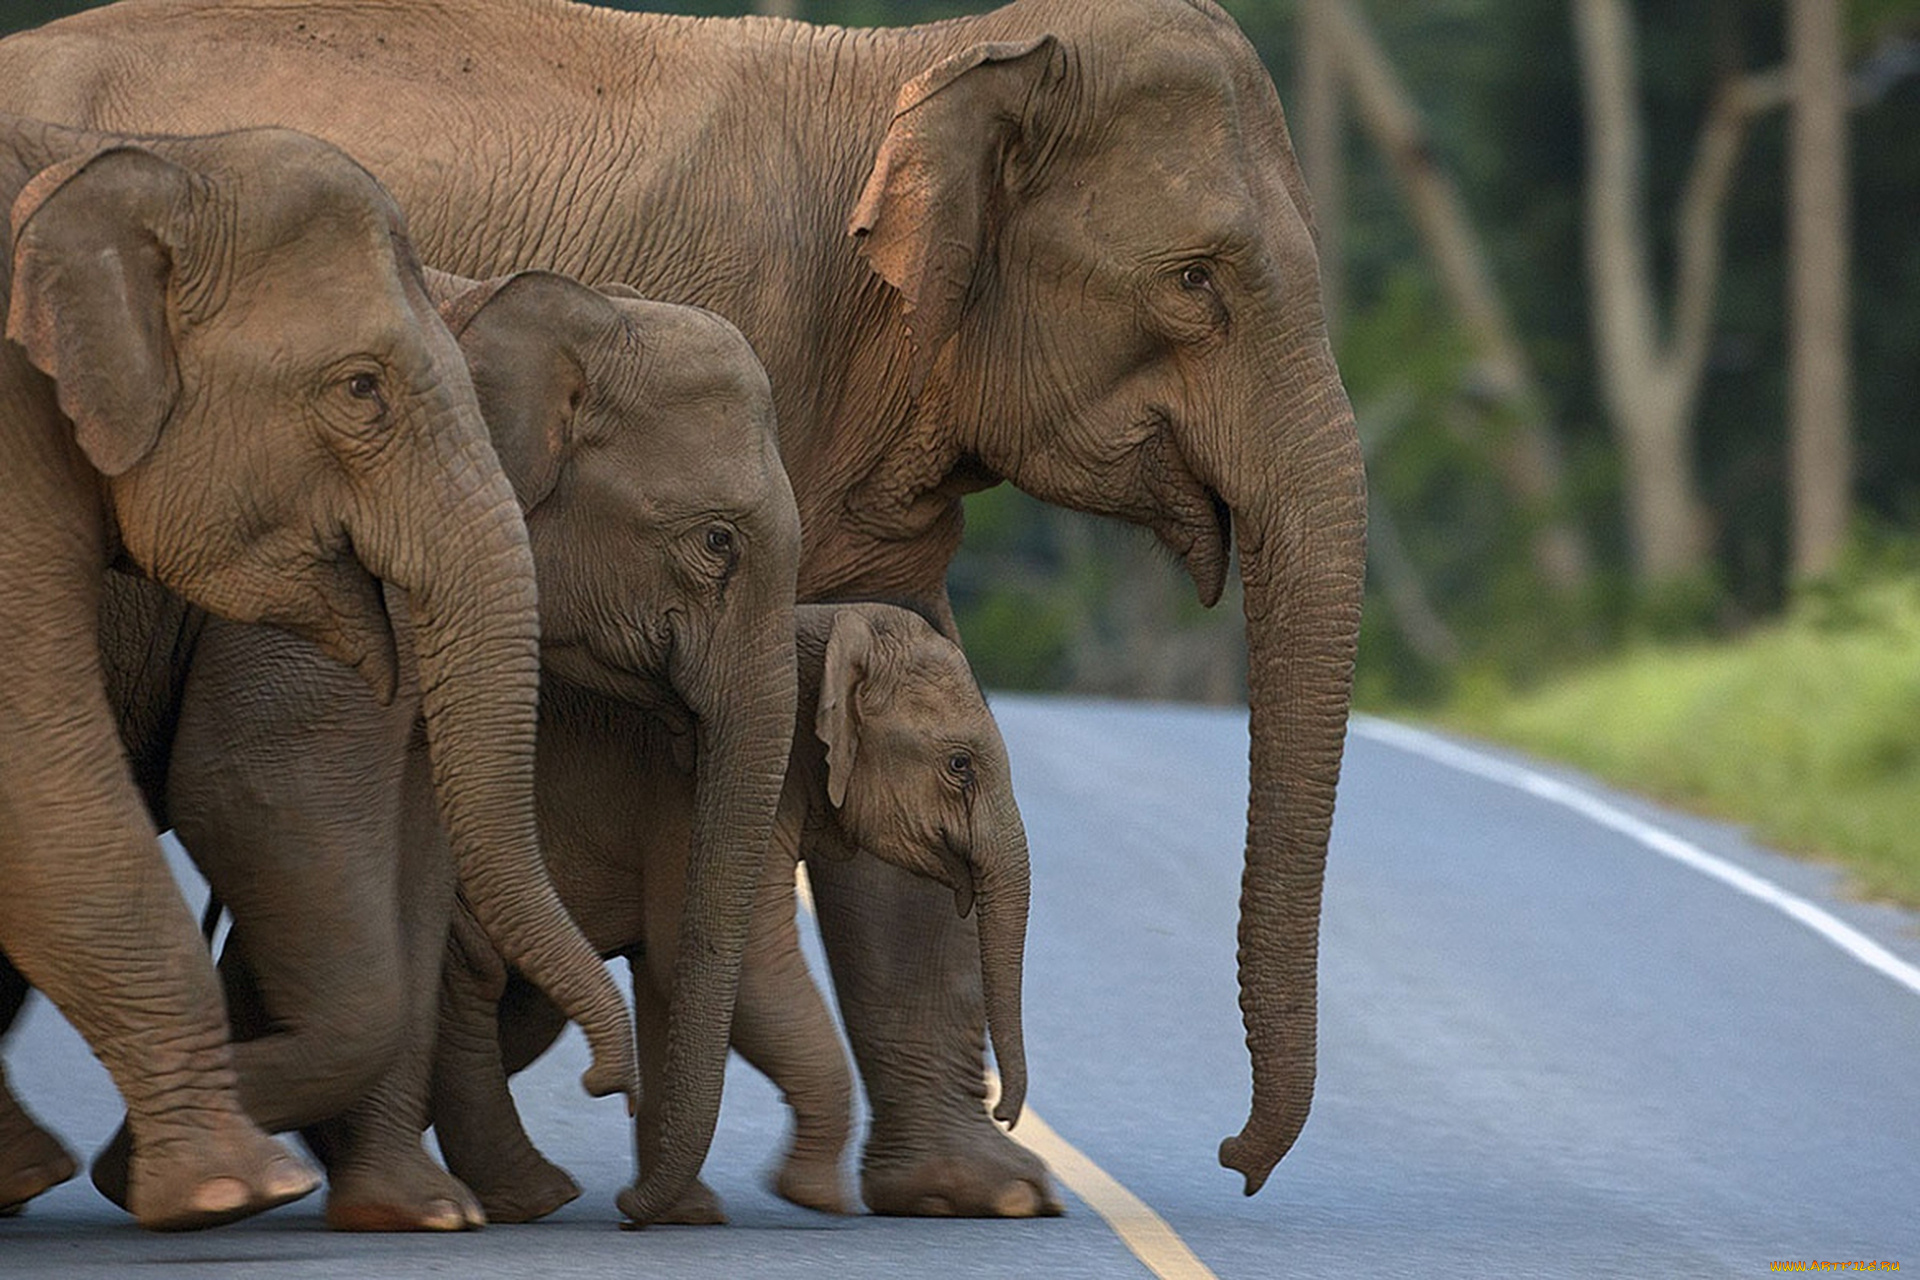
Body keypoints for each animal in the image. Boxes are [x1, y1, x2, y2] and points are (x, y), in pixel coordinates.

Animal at [13, 267, 801, 1229]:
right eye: (717, 542)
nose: (607, 1091)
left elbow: (419, 855)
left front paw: (418, 1211)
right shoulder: (320, 560)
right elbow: (250, 785)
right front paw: (172, 1169)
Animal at [430, 600, 1033, 1225]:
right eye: (959, 764)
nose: (1004, 1114)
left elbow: (673, 972)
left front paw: (683, 1215)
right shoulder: (701, 795)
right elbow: (741, 965)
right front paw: (815, 1195)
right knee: (472, 982)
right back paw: (522, 1198)